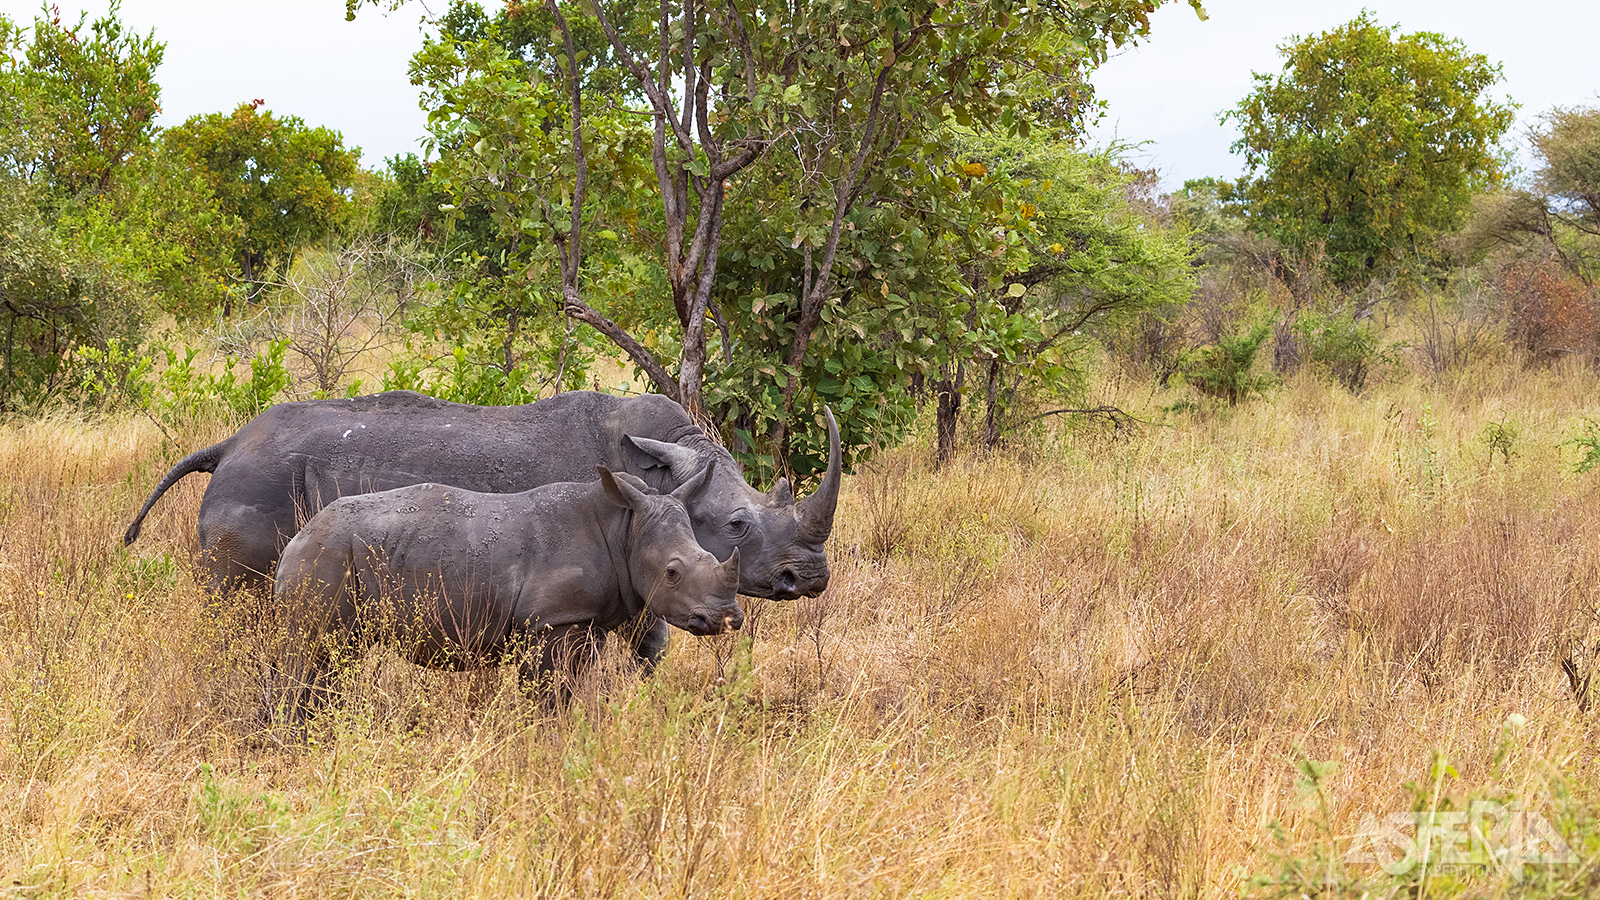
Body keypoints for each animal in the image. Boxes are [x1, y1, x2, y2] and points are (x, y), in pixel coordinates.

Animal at [128, 390, 838, 659]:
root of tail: (227, 445)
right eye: (738, 525)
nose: (809, 577)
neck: (661, 470)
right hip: (262, 486)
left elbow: (651, 645)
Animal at [268, 461, 742, 720]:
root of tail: (296, 539)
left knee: (335, 657)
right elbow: (548, 695)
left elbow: (568, 690)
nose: (728, 617)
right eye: (672, 572)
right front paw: (547, 741)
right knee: (312, 649)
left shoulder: (587, 622)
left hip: (332, 555)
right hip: (324, 558)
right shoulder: (552, 622)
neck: (624, 527)